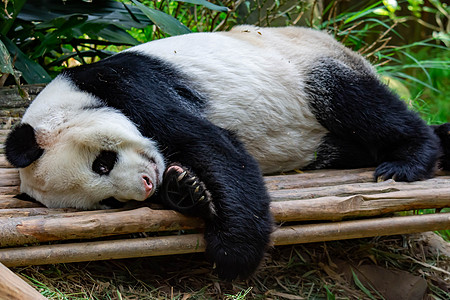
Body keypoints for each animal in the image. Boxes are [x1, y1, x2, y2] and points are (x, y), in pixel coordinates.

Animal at [4, 26, 450, 282]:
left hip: (307, 66)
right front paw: (187, 190)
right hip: (323, 143)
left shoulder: (127, 84)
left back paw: (410, 157)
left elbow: (210, 144)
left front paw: (233, 254)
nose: (146, 185)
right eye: (110, 202)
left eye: (102, 162)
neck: (68, 96)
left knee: (359, 104)